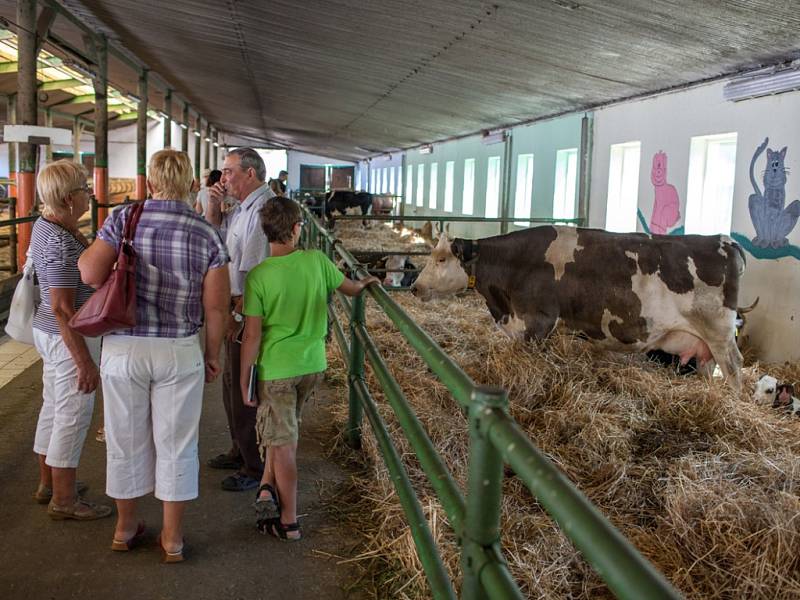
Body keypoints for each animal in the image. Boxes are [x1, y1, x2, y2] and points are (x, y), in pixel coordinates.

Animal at [412, 226, 752, 390]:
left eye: (440, 258)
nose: (415, 287)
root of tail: (724, 241)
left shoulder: (538, 322)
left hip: (719, 334)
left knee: (735, 369)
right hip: (703, 343)